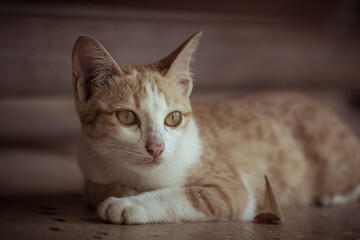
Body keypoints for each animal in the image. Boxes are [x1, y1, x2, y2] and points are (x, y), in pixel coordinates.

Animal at [71, 31, 360, 225]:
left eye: (173, 118)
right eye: (127, 117)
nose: (156, 148)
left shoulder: (233, 190)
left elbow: (186, 195)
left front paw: (128, 204)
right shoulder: (90, 162)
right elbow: (90, 188)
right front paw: (118, 192)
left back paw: (333, 196)